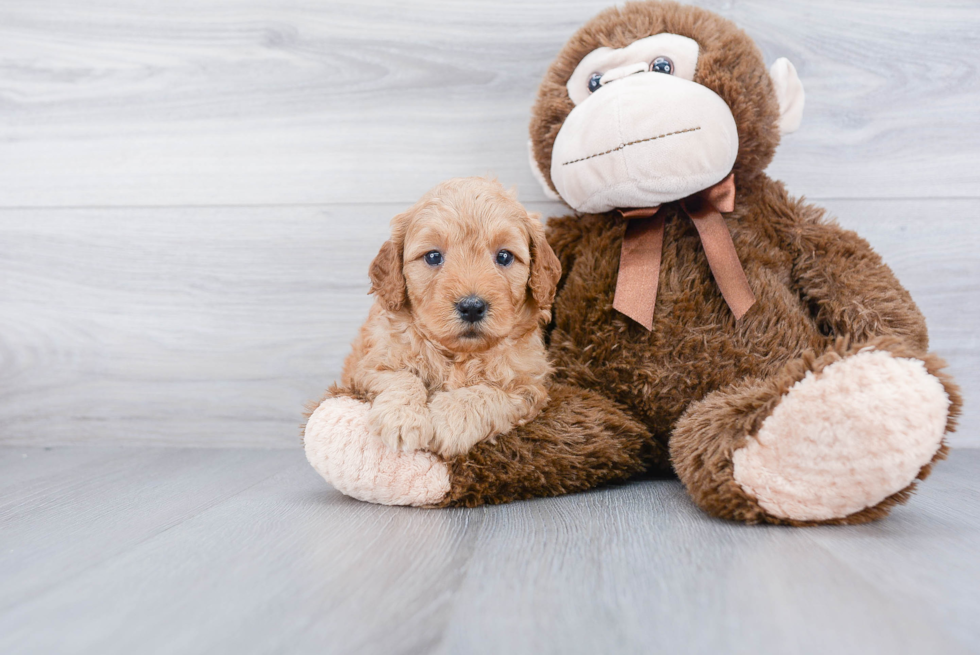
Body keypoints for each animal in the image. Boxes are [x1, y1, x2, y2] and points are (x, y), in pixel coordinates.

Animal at [340, 177, 564, 458]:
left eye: (504, 256)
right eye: (433, 256)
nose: (472, 307)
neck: (459, 355)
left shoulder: (529, 387)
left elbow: (486, 394)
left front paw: (447, 420)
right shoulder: (368, 367)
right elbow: (401, 377)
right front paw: (401, 419)